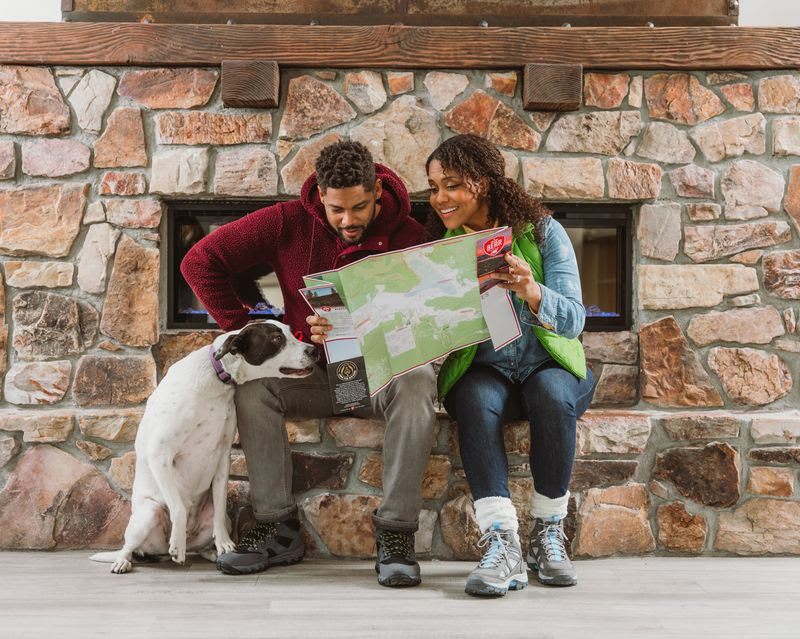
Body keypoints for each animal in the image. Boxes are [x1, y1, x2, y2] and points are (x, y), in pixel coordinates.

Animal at [91, 320, 318, 576]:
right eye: (277, 339)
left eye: (291, 332)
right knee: (129, 546)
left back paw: (212, 552)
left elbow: (219, 506)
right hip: (148, 514)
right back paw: (126, 560)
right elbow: (178, 508)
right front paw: (177, 545)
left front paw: (225, 544)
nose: (314, 350)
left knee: (203, 540)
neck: (217, 380)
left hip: (216, 519)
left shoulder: (222, 457)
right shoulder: (160, 455)